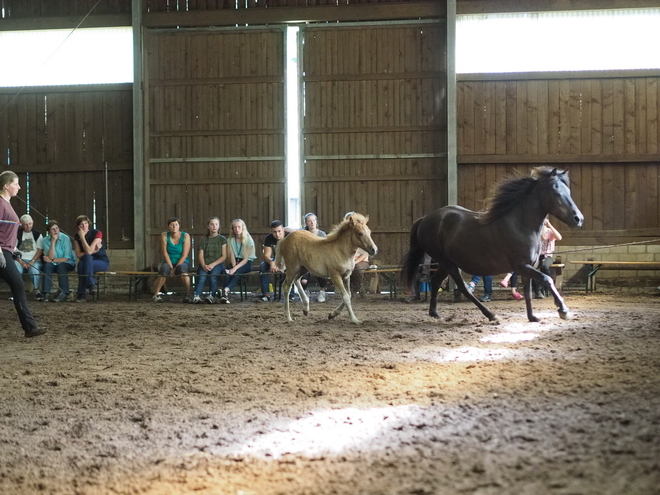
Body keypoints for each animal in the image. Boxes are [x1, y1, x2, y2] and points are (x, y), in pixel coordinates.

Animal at [402, 168, 584, 322]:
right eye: (556, 192)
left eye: (568, 191)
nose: (578, 219)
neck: (520, 224)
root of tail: (425, 218)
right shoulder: (521, 266)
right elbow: (547, 279)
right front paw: (563, 311)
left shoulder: (527, 267)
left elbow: (528, 292)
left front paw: (533, 317)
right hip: (449, 263)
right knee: (463, 288)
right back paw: (491, 315)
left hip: (446, 263)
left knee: (435, 282)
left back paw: (435, 313)